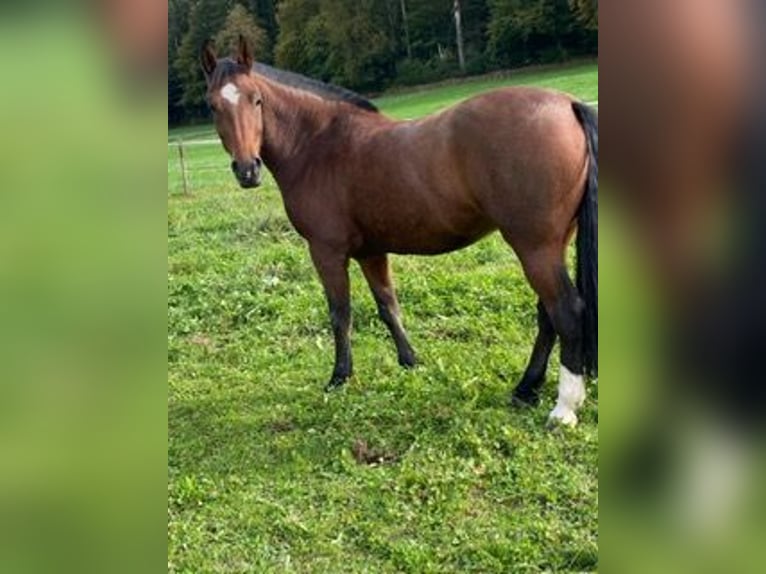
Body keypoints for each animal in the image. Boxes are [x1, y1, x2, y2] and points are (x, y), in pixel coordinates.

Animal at [198, 37, 600, 428]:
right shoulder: (371, 252)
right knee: (547, 314)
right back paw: (526, 389)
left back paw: (563, 409)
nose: (247, 170)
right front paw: (410, 361)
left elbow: (340, 314)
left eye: (257, 100)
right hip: (552, 244)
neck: (317, 144)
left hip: (534, 247)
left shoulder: (326, 252)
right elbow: (388, 306)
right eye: (213, 106)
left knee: (565, 310)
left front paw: (340, 377)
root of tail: (568, 104)